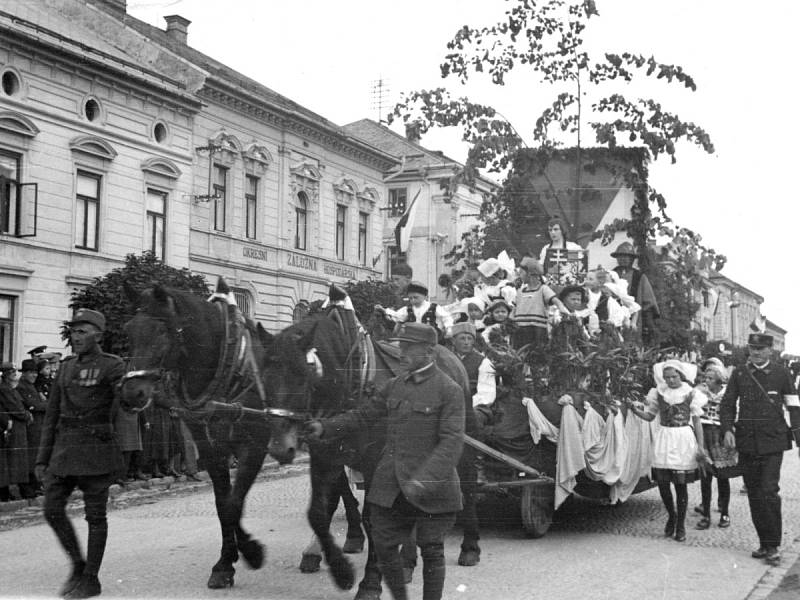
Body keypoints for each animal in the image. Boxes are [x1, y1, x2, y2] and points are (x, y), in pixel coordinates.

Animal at [117, 282, 282, 592]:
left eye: (162, 331)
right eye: (128, 329)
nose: (133, 394)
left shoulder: (253, 446)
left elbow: (234, 502)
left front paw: (251, 552)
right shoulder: (210, 448)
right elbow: (223, 504)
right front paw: (225, 564)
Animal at [262, 298, 478, 596]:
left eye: (302, 377)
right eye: (265, 376)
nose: (279, 447)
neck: (352, 380)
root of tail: (450, 355)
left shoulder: (377, 462)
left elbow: (374, 519)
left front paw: (371, 582)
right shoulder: (325, 456)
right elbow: (319, 512)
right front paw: (341, 570)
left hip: (460, 441)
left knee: (467, 484)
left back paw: (470, 547)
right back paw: (407, 561)